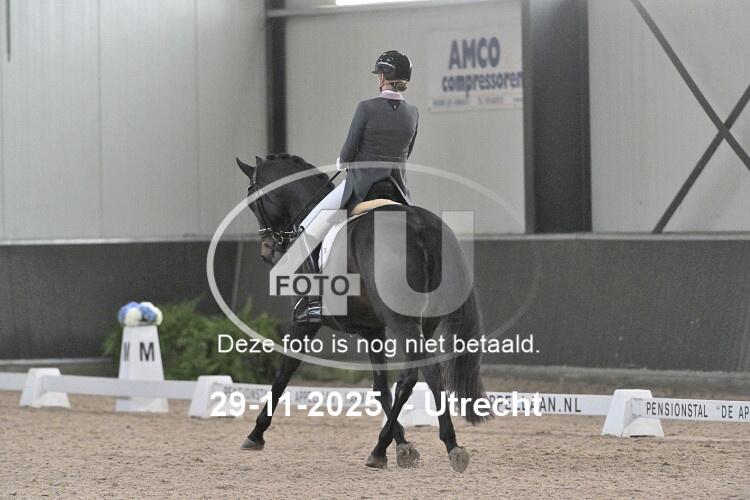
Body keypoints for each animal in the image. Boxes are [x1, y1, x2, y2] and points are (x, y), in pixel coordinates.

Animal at [236, 153, 489, 473]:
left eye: (252, 199)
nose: (267, 250)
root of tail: (422, 225)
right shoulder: (373, 330)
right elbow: (381, 387)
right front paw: (403, 444)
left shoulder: (305, 323)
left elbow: (283, 372)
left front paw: (256, 433)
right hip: (424, 322)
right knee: (417, 374)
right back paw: (435, 445)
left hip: (402, 321)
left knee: (420, 373)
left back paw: (391, 449)